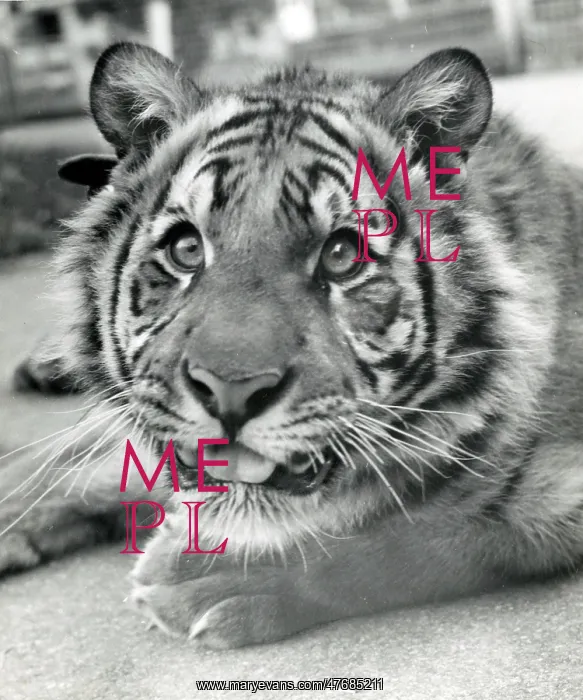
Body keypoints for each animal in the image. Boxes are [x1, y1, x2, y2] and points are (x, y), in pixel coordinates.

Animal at [2, 41, 583, 650]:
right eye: (187, 249)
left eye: (341, 255)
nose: (232, 393)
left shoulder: (552, 491)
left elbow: (408, 538)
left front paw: (209, 571)